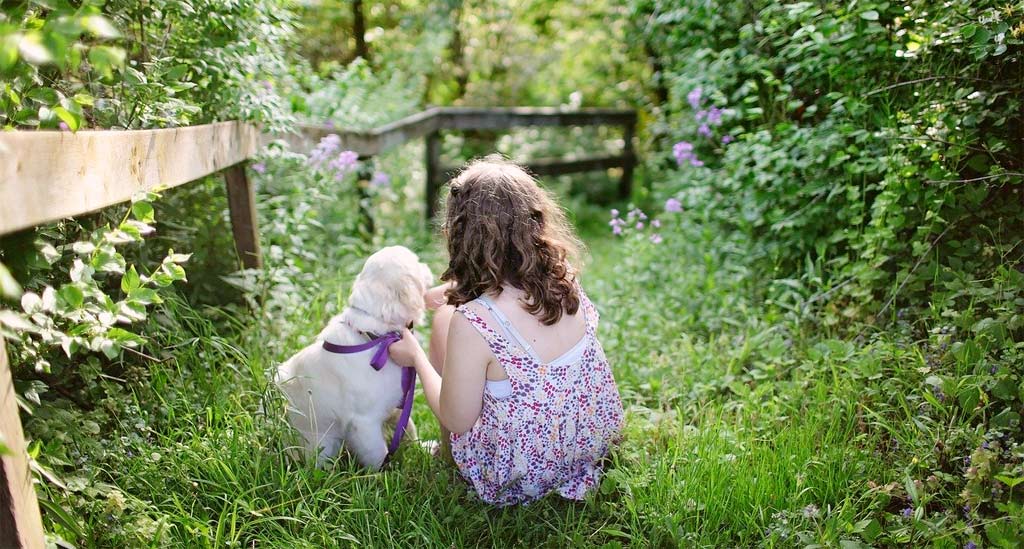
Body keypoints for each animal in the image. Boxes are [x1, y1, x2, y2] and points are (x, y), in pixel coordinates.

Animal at [276, 246, 432, 469]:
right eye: (417, 263)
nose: (427, 266)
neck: (376, 337)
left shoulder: (396, 404)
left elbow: (409, 429)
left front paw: (423, 448)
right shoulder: (364, 422)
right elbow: (378, 453)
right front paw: (384, 474)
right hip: (322, 445)